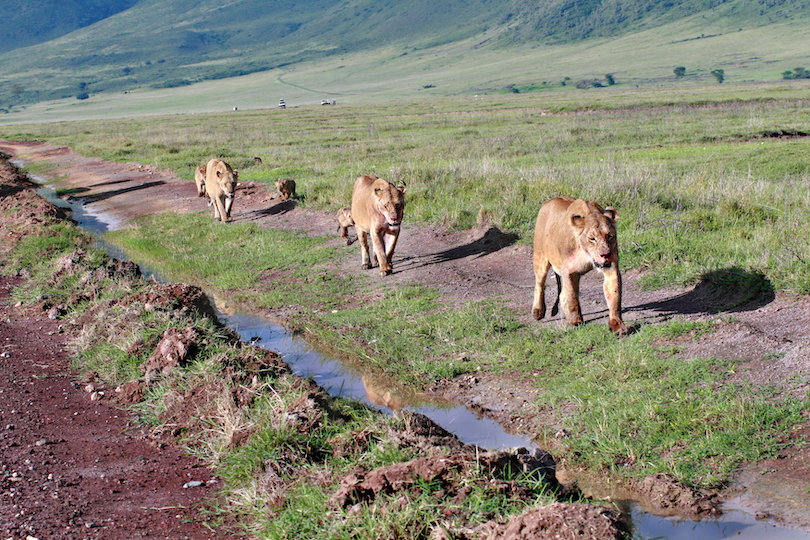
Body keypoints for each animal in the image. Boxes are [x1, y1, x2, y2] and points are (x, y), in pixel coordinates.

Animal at [532, 196, 632, 336]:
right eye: (592, 239)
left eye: (610, 236)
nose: (605, 254)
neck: (587, 253)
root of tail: (550, 201)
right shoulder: (568, 270)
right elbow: (571, 297)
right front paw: (575, 322)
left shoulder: (611, 268)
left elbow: (615, 296)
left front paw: (618, 325)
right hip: (540, 257)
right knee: (540, 284)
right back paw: (538, 311)